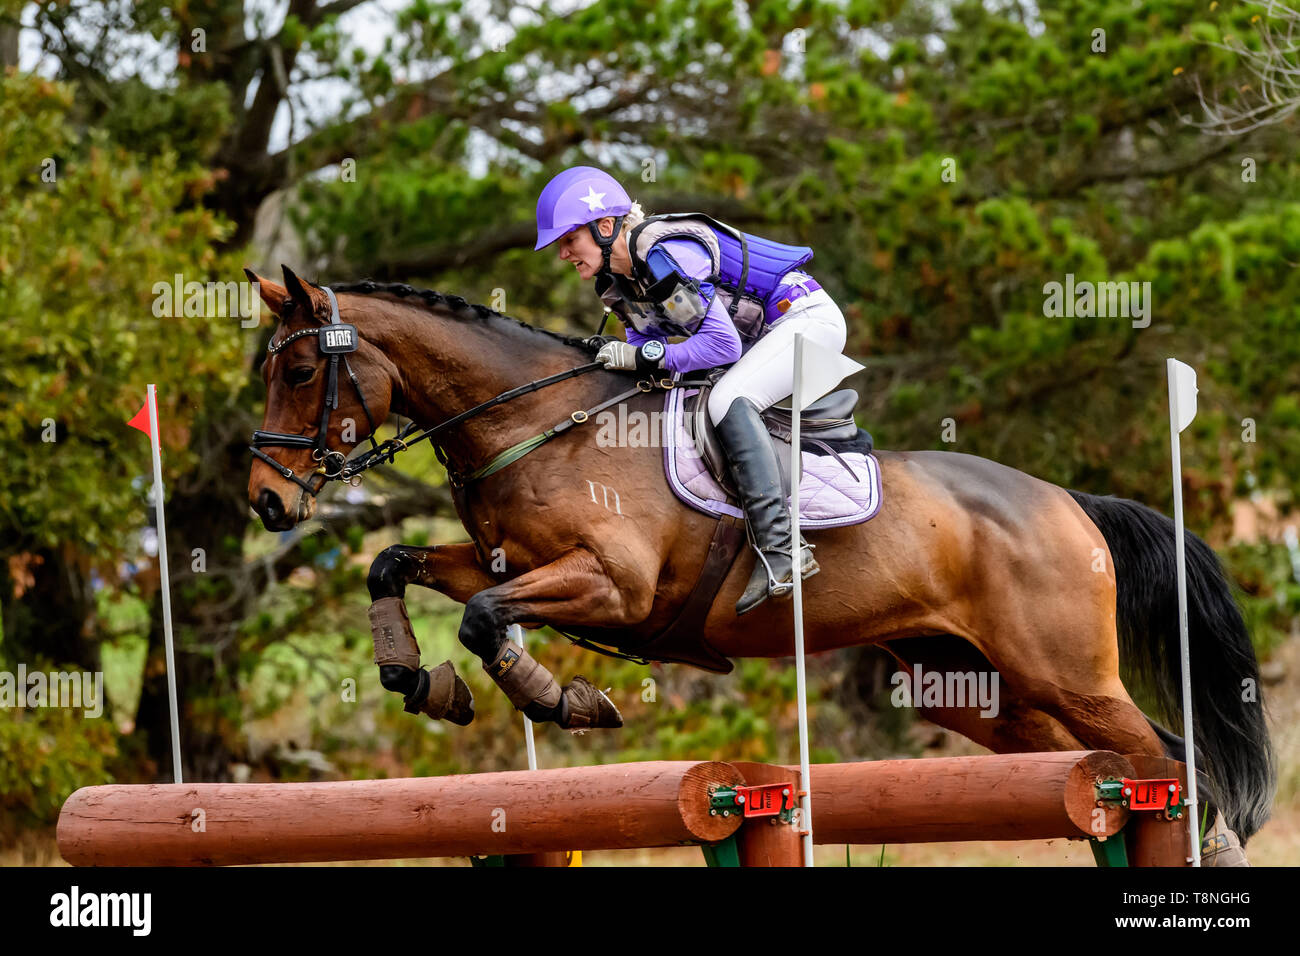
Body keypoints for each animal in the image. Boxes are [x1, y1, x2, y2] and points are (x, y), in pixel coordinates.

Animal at [245, 265, 1279, 858]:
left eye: (298, 372)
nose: (266, 501)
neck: (533, 421)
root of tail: (1068, 502)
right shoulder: (502, 559)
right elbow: (394, 565)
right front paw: (421, 681)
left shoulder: (611, 586)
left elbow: (485, 616)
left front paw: (561, 700)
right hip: (983, 693)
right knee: (1127, 763)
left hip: (1066, 673)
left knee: (1168, 759)